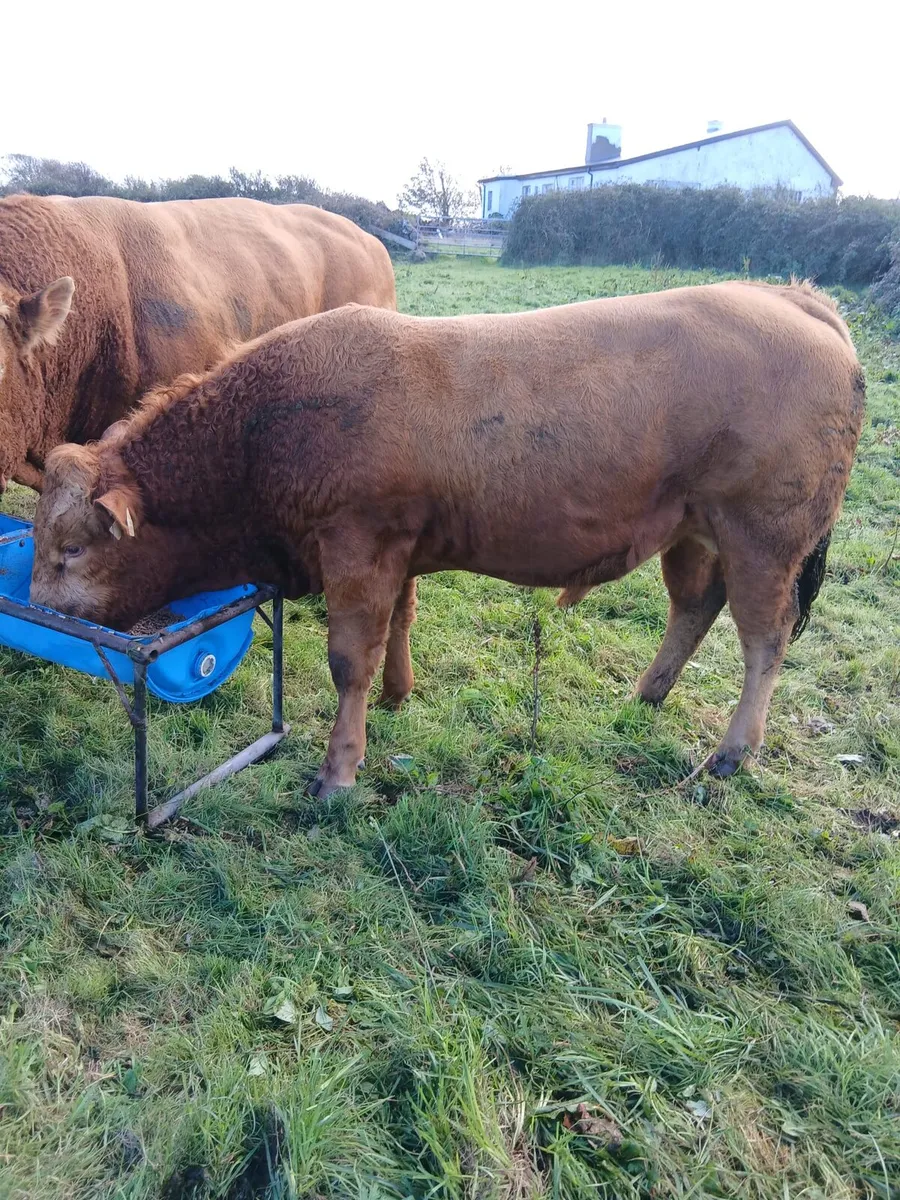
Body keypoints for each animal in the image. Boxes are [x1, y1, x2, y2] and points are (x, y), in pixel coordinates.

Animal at [31, 281, 864, 798]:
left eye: (70, 549)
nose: (36, 608)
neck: (266, 429)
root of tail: (792, 298)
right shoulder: (399, 549)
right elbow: (400, 622)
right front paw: (398, 694)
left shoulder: (357, 547)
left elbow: (348, 659)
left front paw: (339, 770)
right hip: (695, 530)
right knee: (694, 607)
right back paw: (649, 695)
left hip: (765, 536)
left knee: (765, 637)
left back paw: (731, 752)